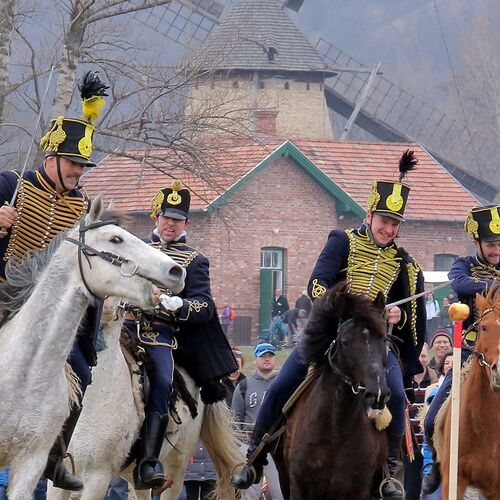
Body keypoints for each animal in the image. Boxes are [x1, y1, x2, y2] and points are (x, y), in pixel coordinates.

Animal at [274, 286, 390, 500]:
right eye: (345, 341)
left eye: (384, 338)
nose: (377, 394)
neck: (336, 430)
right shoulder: (298, 487)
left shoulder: (359, 492)